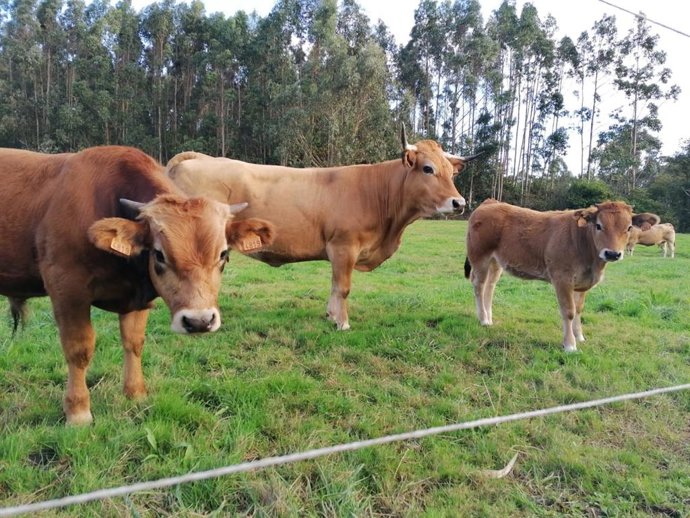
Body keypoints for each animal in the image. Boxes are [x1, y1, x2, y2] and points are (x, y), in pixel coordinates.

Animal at [0, 146, 274, 425]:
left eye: (223, 254)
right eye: (159, 254)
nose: (199, 321)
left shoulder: (139, 299)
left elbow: (134, 342)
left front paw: (135, 394)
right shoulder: (67, 289)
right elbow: (79, 349)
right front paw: (78, 411)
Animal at [166, 126, 479, 330]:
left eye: (450, 172)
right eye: (428, 169)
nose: (459, 203)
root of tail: (201, 158)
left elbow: (333, 286)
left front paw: (330, 316)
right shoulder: (344, 247)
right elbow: (343, 288)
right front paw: (342, 323)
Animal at [464, 200, 635, 352]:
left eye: (629, 227)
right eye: (598, 225)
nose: (612, 254)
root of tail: (491, 202)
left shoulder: (582, 283)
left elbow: (579, 309)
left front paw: (579, 336)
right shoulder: (562, 279)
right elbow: (569, 311)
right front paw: (570, 345)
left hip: (496, 262)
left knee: (490, 286)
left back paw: (489, 318)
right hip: (479, 257)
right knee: (479, 285)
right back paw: (483, 319)